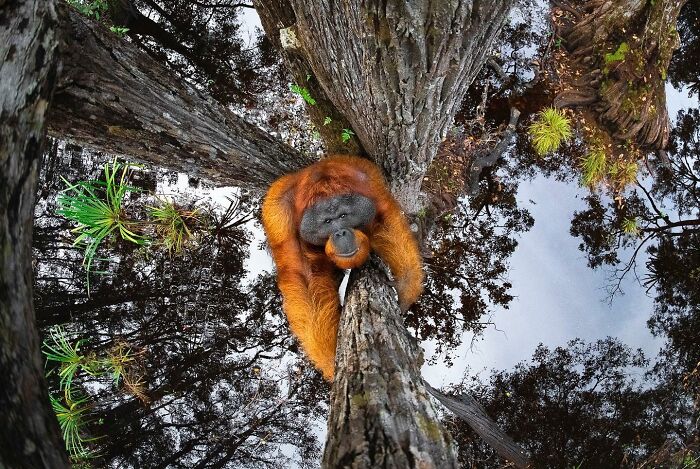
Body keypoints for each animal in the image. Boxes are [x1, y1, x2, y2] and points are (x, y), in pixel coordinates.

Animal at [261, 155, 424, 381]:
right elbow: (303, 274)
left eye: (344, 216)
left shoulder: (370, 184)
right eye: (328, 221)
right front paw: (331, 360)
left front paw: (405, 287)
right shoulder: (279, 216)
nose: (340, 233)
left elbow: (385, 221)